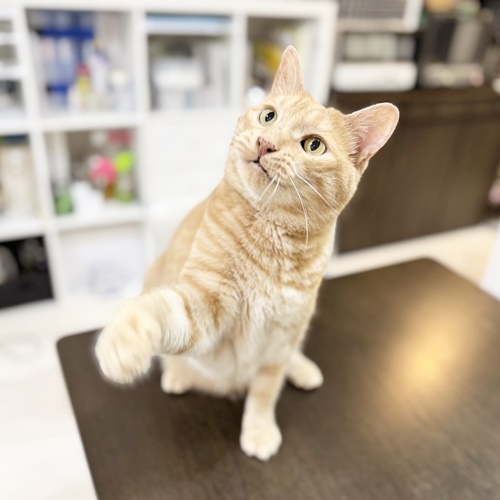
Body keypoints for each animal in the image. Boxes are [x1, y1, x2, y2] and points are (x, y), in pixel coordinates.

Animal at [95, 46, 399, 461]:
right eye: (268, 115)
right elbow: (159, 313)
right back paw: (176, 374)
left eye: (313, 145)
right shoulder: (205, 305)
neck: (271, 239)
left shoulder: (281, 339)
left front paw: (258, 430)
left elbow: (265, 391)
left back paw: (302, 369)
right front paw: (123, 343)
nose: (264, 143)